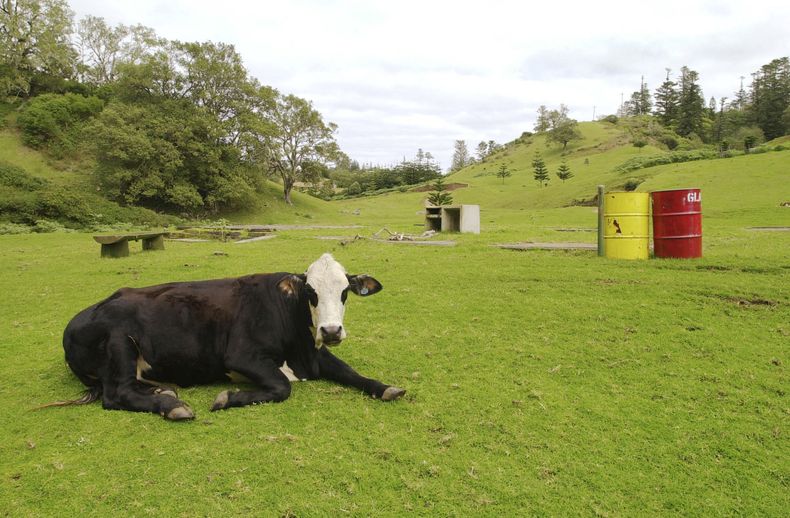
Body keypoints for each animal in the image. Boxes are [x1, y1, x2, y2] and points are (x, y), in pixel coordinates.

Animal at [53, 253, 405, 420]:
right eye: (310, 291)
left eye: (344, 291)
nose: (331, 330)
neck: (301, 350)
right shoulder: (241, 356)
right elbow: (281, 386)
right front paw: (227, 398)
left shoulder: (318, 355)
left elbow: (351, 372)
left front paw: (386, 388)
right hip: (120, 341)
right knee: (116, 394)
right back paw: (172, 406)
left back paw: (162, 392)